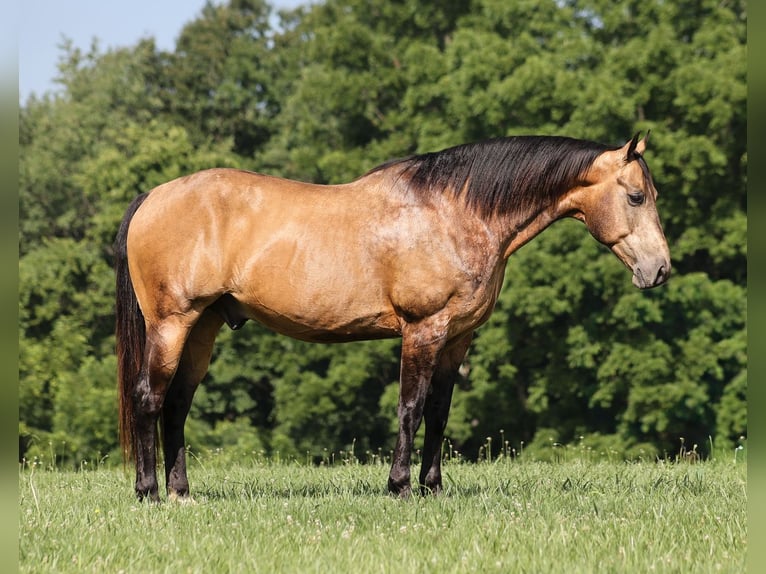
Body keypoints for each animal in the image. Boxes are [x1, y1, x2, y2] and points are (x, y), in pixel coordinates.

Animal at [115, 133, 670, 501]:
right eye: (636, 196)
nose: (660, 269)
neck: (454, 214)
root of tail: (152, 197)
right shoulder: (423, 331)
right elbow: (410, 407)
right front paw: (400, 487)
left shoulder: (457, 339)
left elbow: (439, 413)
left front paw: (433, 488)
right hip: (172, 324)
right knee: (149, 398)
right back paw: (149, 492)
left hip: (203, 328)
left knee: (177, 405)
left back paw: (182, 492)